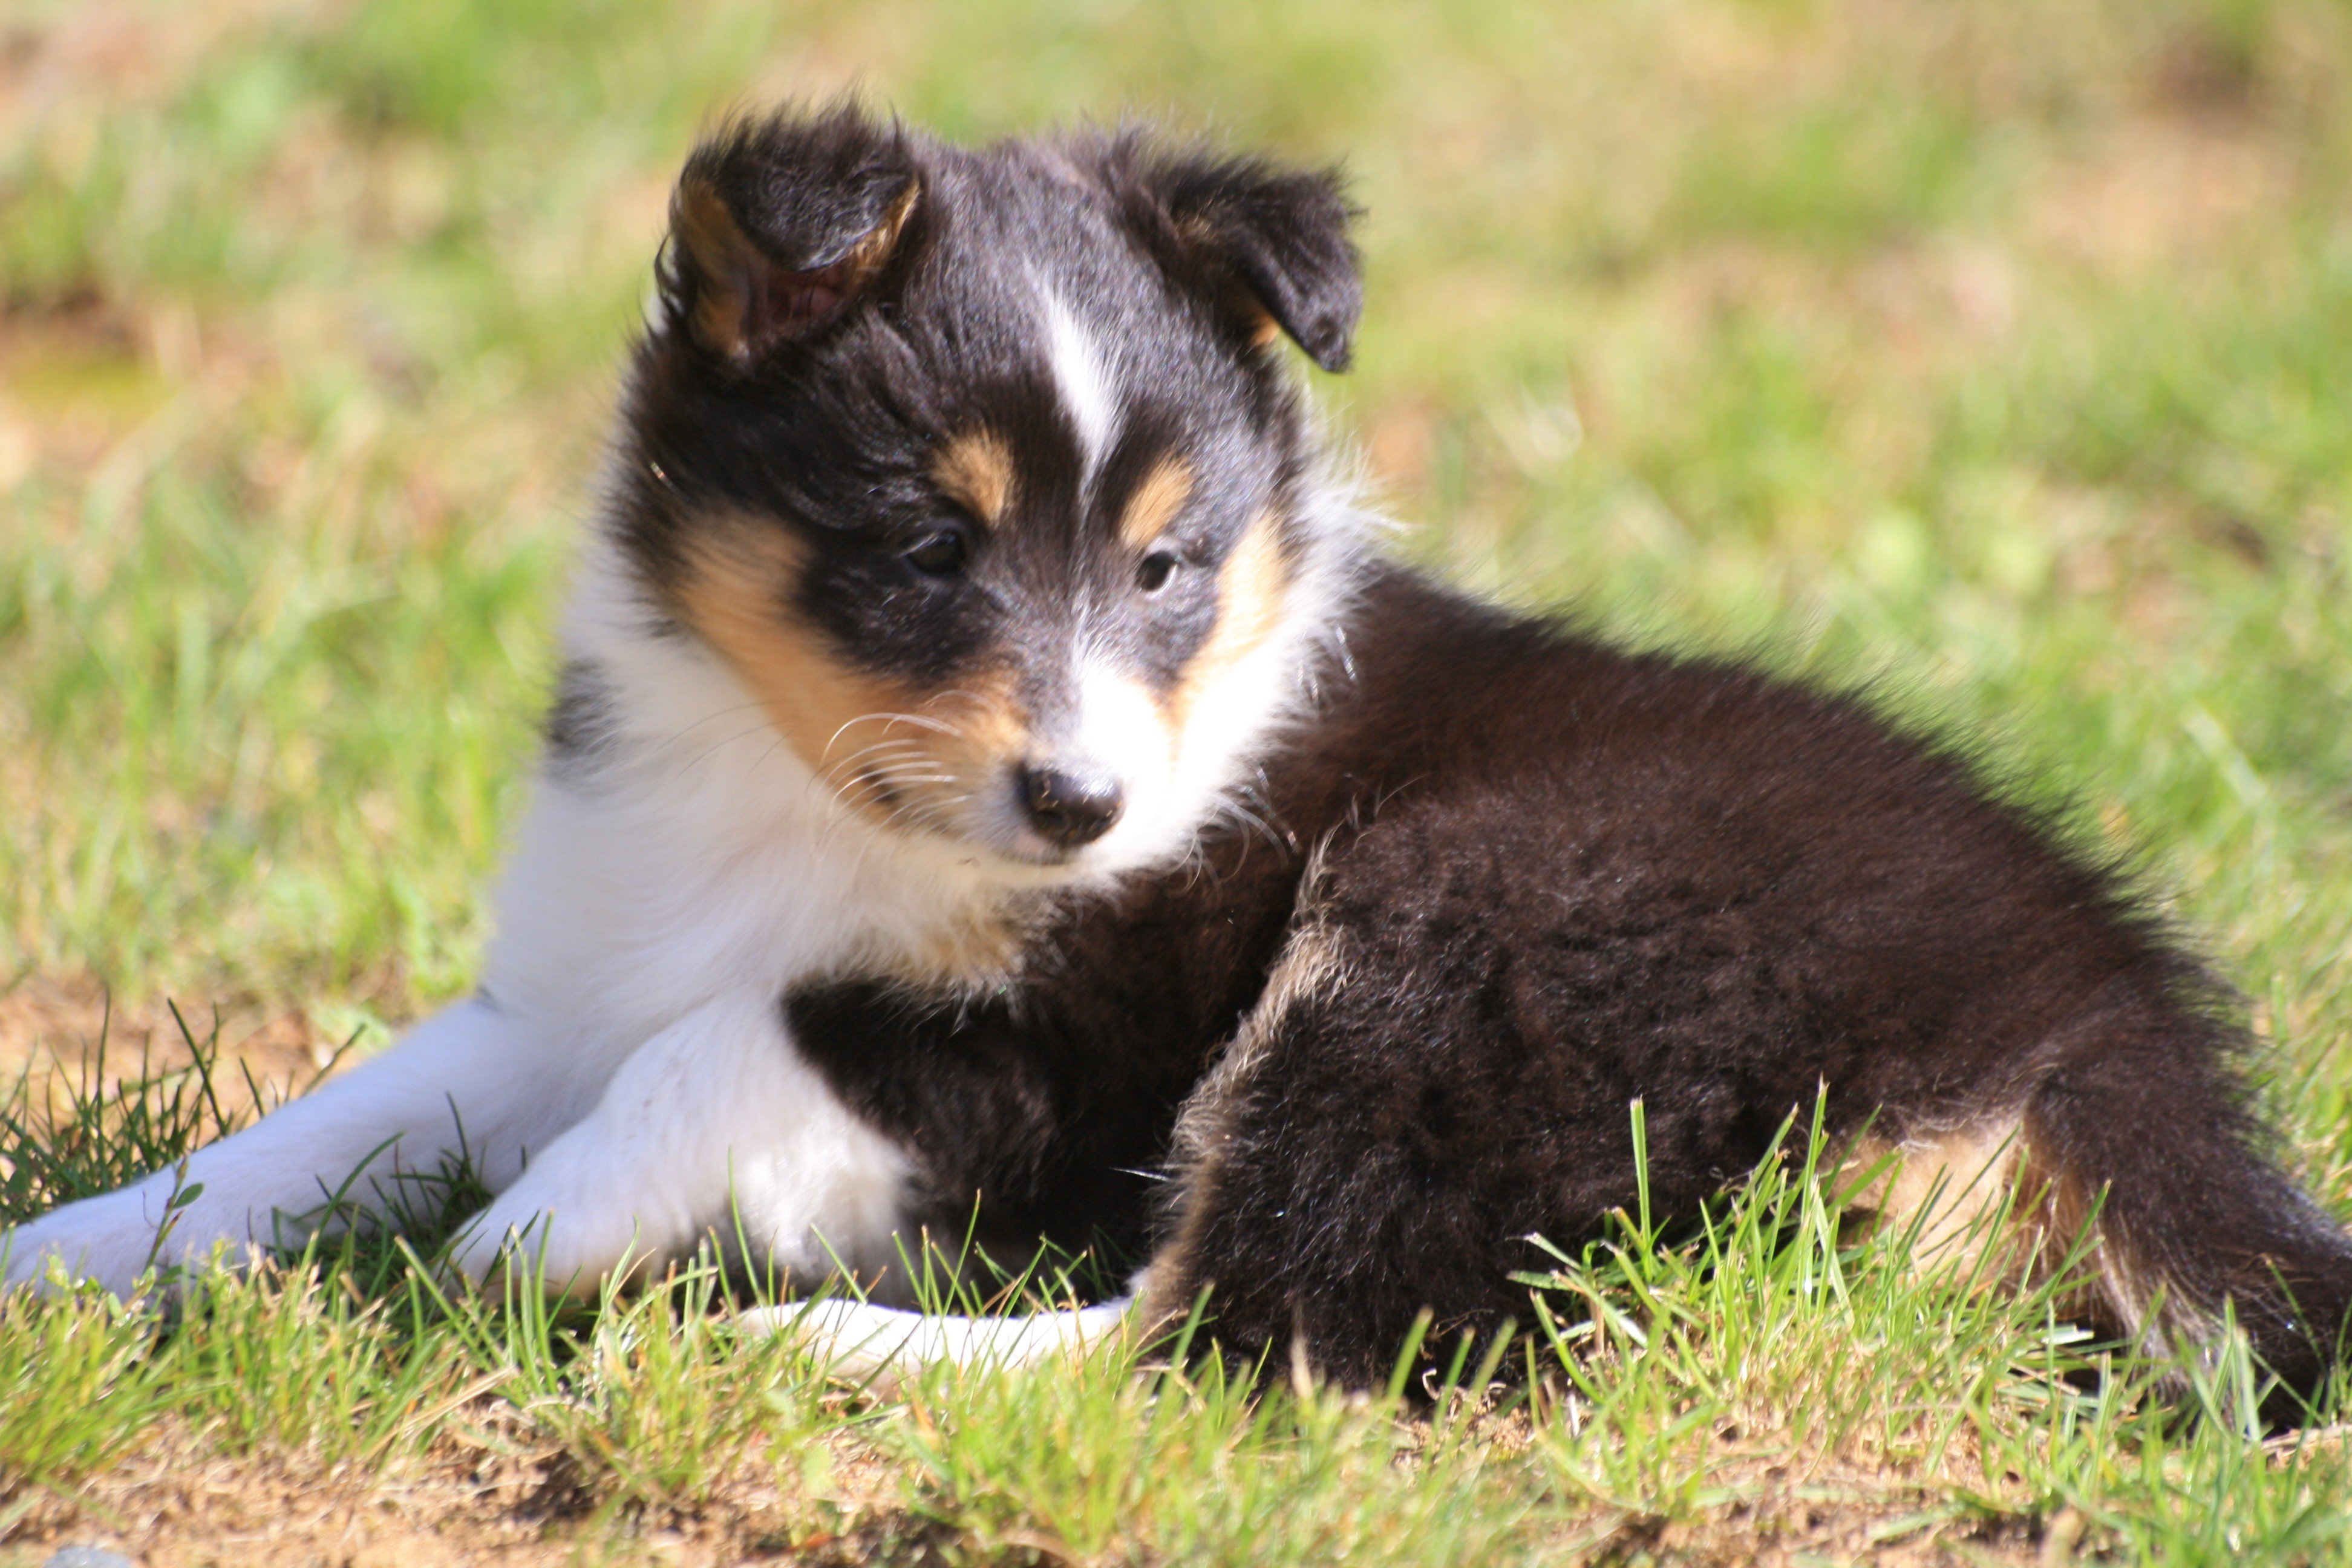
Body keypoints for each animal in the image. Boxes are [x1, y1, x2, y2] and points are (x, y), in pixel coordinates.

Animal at [13, 107, 2352, 1410]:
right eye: (925, 547)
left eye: (1162, 565)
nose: (1082, 808)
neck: (800, 794)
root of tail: (2097, 1032)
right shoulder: (567, 979)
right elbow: (324, 1123)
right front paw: (72, 1259)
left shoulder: (1077, 1030)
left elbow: (735, 1050)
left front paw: (536, 1237)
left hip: (1462, 934)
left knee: (1256, 1343)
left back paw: (816, 1349)